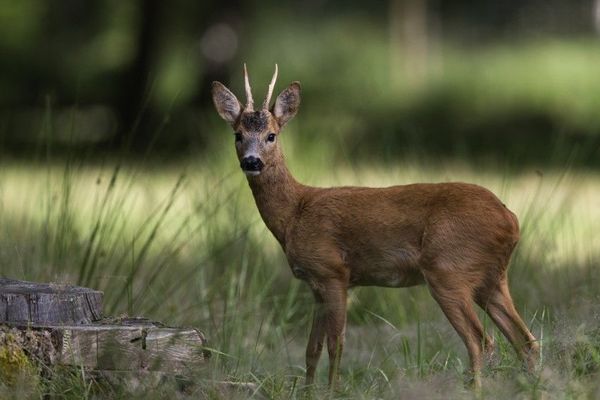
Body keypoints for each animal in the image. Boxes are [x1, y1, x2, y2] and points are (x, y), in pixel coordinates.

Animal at [211, 65, 540, 388]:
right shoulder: (315, 285)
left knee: (481, 341)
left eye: (271, 135)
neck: (295, 213)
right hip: (491, 278)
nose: (252, 162)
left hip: (448, 269)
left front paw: (331, 392)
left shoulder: (333, 272)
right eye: (238, 134)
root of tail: (511, 219)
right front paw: (306, 392)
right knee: (527, 341)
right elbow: (311, 349)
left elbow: (336, 344)